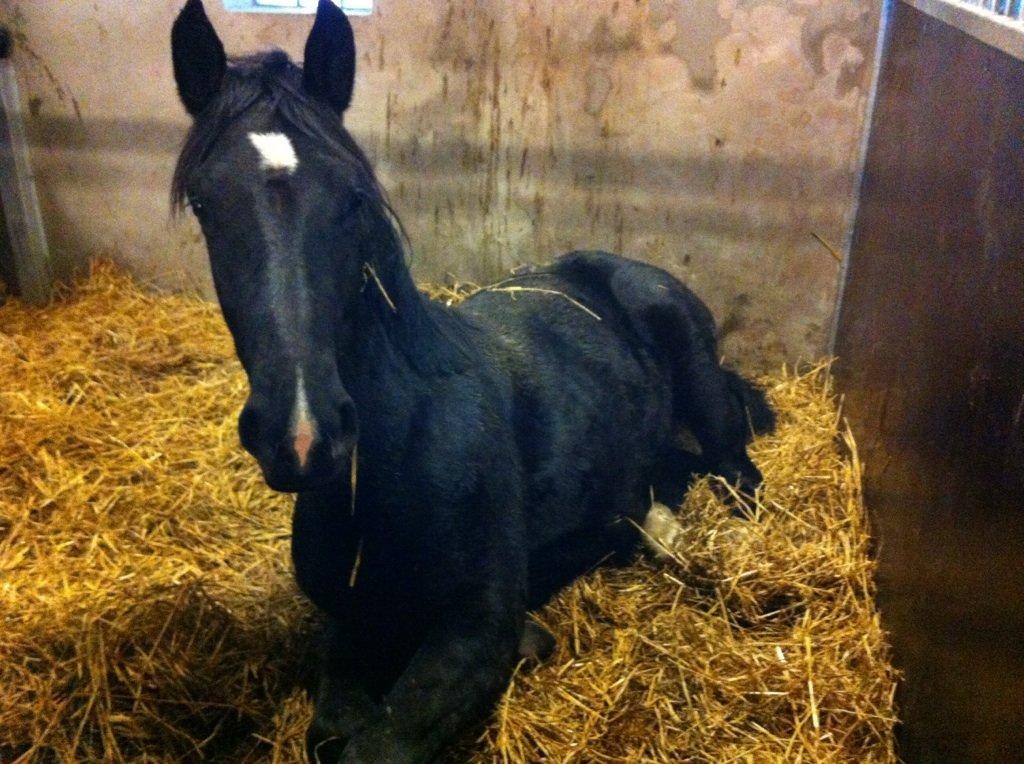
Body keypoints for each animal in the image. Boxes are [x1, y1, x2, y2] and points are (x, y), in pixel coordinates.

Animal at [172, 2, 770, 757]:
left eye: (354, 197)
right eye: (203, 203)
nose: (303, 436)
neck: (393, 464)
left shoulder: (475, 633)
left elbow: (379, 744)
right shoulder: (353, 624)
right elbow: (336, 728)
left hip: (698, 377)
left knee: (736, 472)